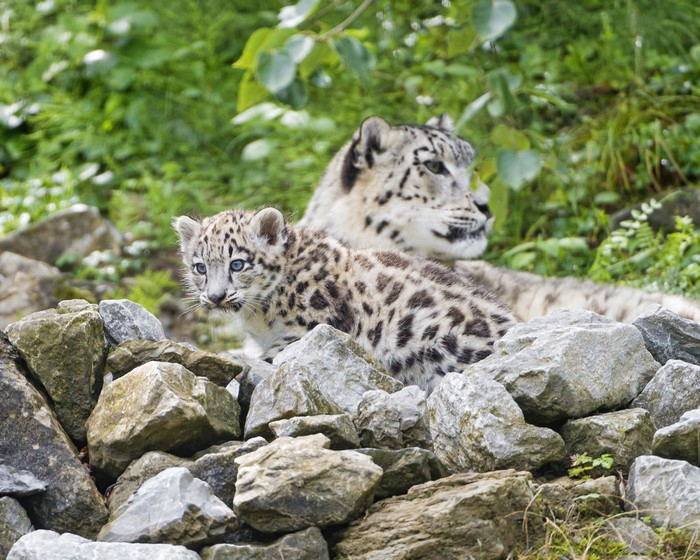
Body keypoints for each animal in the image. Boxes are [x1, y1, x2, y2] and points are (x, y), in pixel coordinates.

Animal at [174, 207, 515, 393]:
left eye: (237, 264)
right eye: (200, 267)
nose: (216, 297)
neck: (259, 317)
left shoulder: (304, 330)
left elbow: (270, 359)